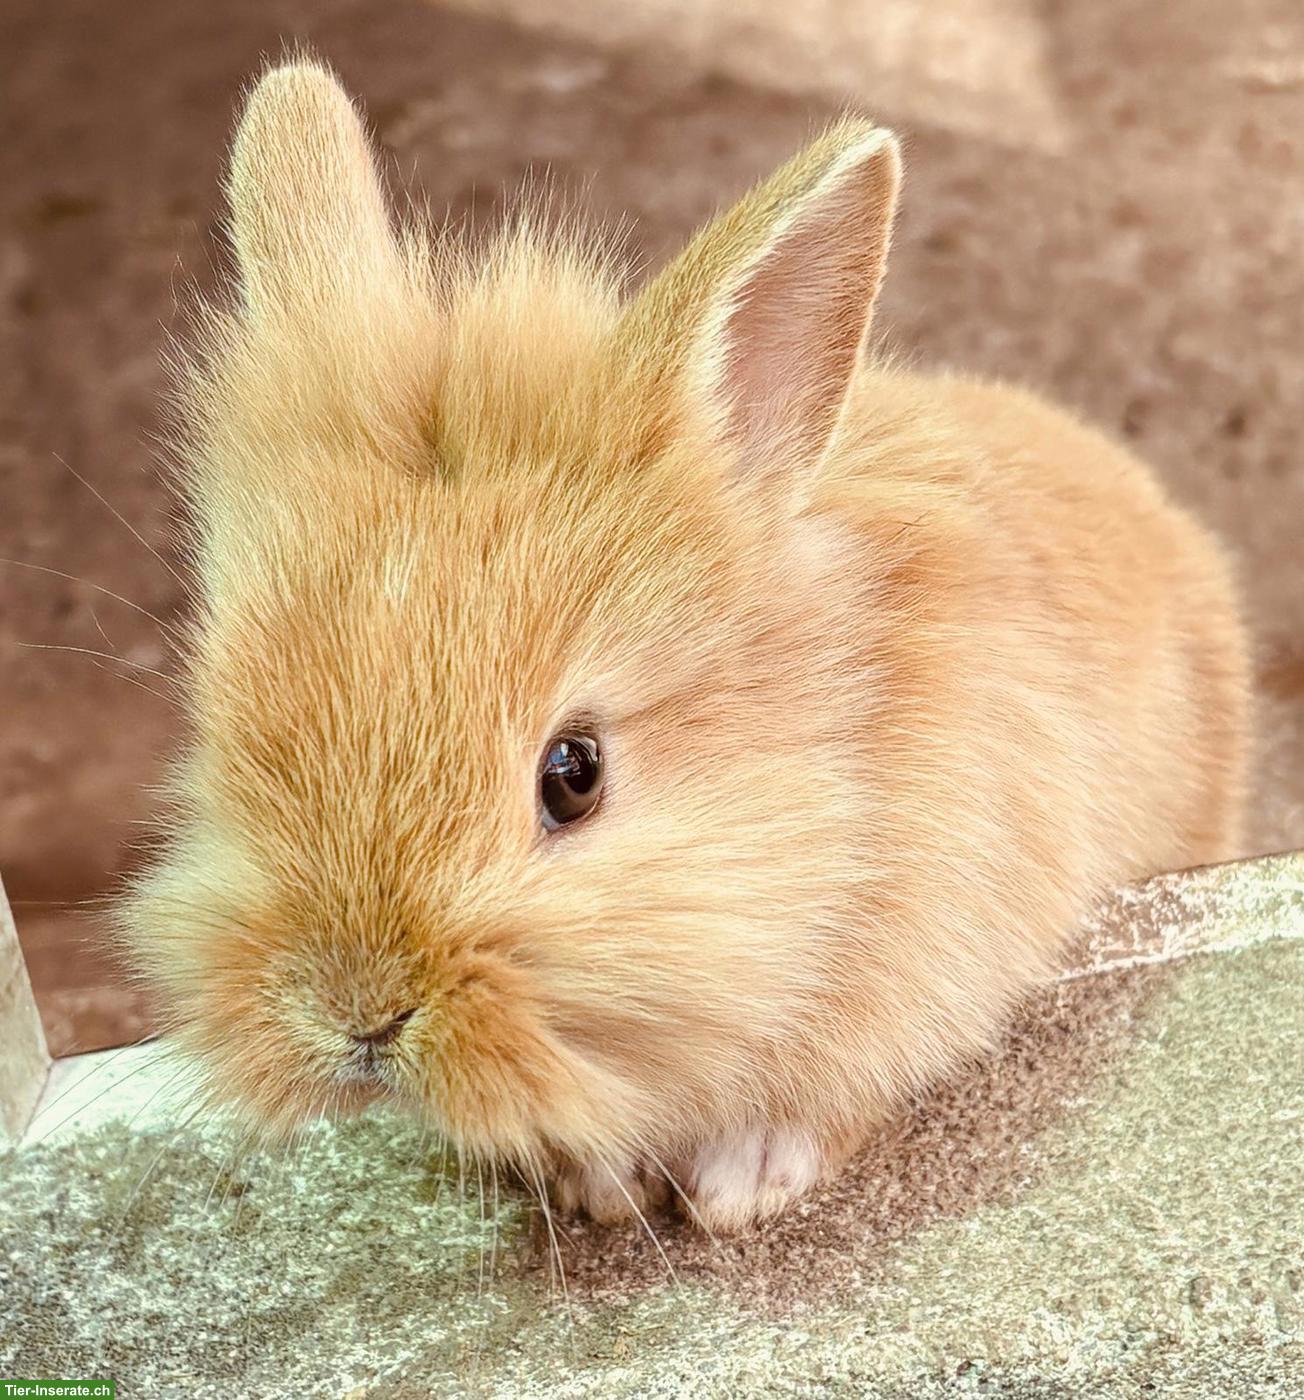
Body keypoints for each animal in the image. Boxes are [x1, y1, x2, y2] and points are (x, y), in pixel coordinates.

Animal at [119, 58, 1250, 1233]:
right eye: (219, 736)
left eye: (573, 775)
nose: (359, 1014)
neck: (820, 780)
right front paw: (599, 1181)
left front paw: (734, 1188)